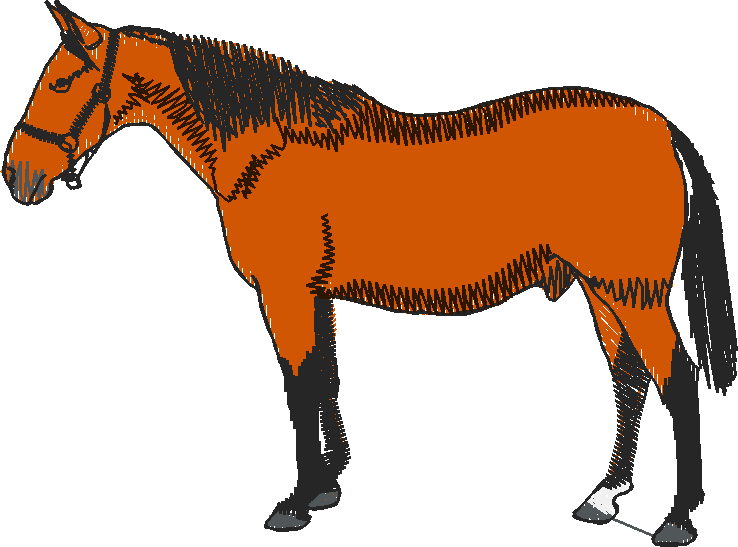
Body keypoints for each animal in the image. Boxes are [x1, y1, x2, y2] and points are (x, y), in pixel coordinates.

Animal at [5, 2, 735, 543]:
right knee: (629, 378)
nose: (18, 174)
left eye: (64, 81)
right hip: (602, 290)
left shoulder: (284, 293)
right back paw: (603, 498)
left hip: (632, 292)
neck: (271, 147)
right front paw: (328, 485)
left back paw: (674, 520)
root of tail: (660, 126)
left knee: (673, 377)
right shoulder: (313, 294)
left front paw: (296, 501)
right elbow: (324, 374)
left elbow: (298, 379)